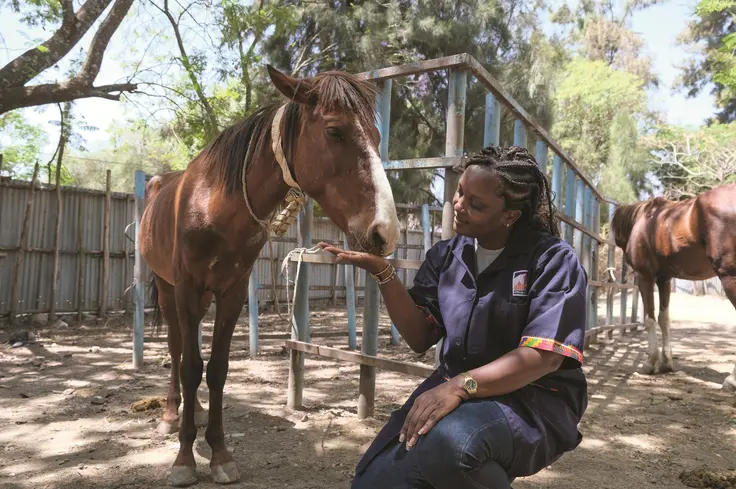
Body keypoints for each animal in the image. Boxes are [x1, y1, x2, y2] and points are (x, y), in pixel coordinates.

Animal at [139, 64, 400, 487]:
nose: (385, 232)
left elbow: (217, 369)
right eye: (334, 131)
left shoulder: (231, 293)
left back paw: (195, 409)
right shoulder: (187, 288)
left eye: (377, 138)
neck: (215, 205)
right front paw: (184, 459)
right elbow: (191, 366)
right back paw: (170, 413)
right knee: (178, 350)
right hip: (167, 289)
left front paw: (220, 453)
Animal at [610, 183, 736, 392]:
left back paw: (731, 380)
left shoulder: (645, 277)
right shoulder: (664, 280)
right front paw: (666, 363)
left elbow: (649, 319)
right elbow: (664, 319)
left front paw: (650, 363)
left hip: (729, 277)